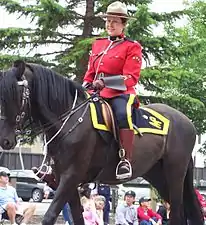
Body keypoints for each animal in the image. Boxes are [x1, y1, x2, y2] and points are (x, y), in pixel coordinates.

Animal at [0, 60, 204, 225]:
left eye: (16, 95)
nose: (5, 140)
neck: (69, 121)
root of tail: (187, 122)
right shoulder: (65, 180)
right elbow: (78, 217)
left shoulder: (71, 176)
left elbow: (49, 217)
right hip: (157, 174)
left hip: (175, 172)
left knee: (177, 212)